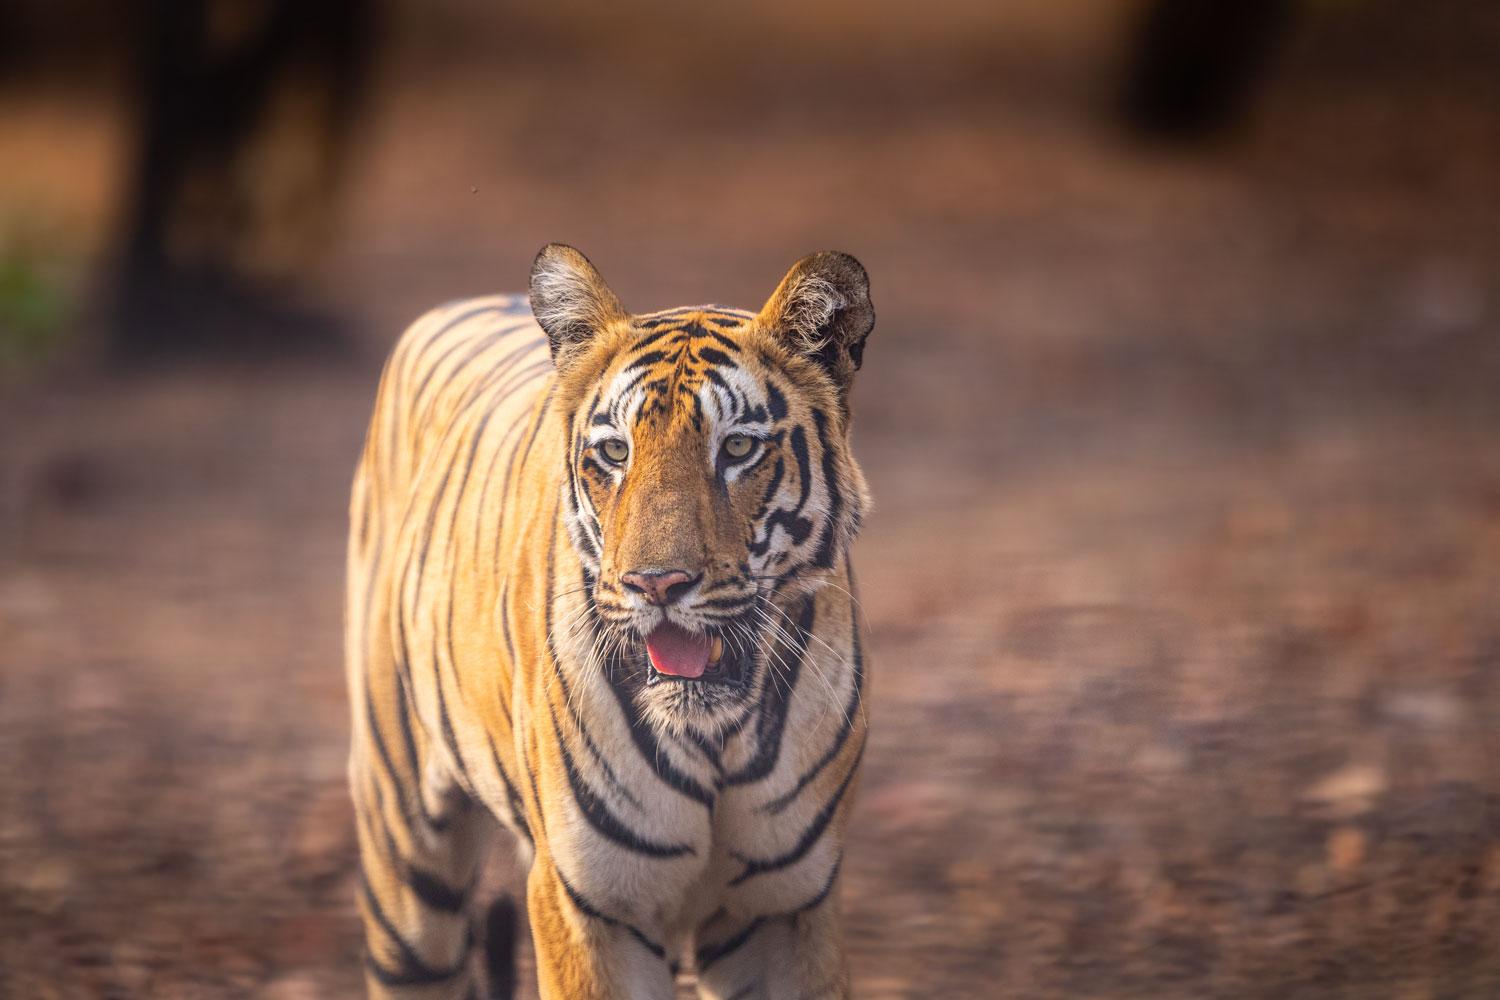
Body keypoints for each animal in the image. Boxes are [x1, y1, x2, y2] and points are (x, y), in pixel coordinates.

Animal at [345, 245, 874, 1000]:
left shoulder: (787, 906)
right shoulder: (588, 905)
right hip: (405, 852)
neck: (715, 739)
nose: (656, 583)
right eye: (616, 453)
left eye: (738, 449)